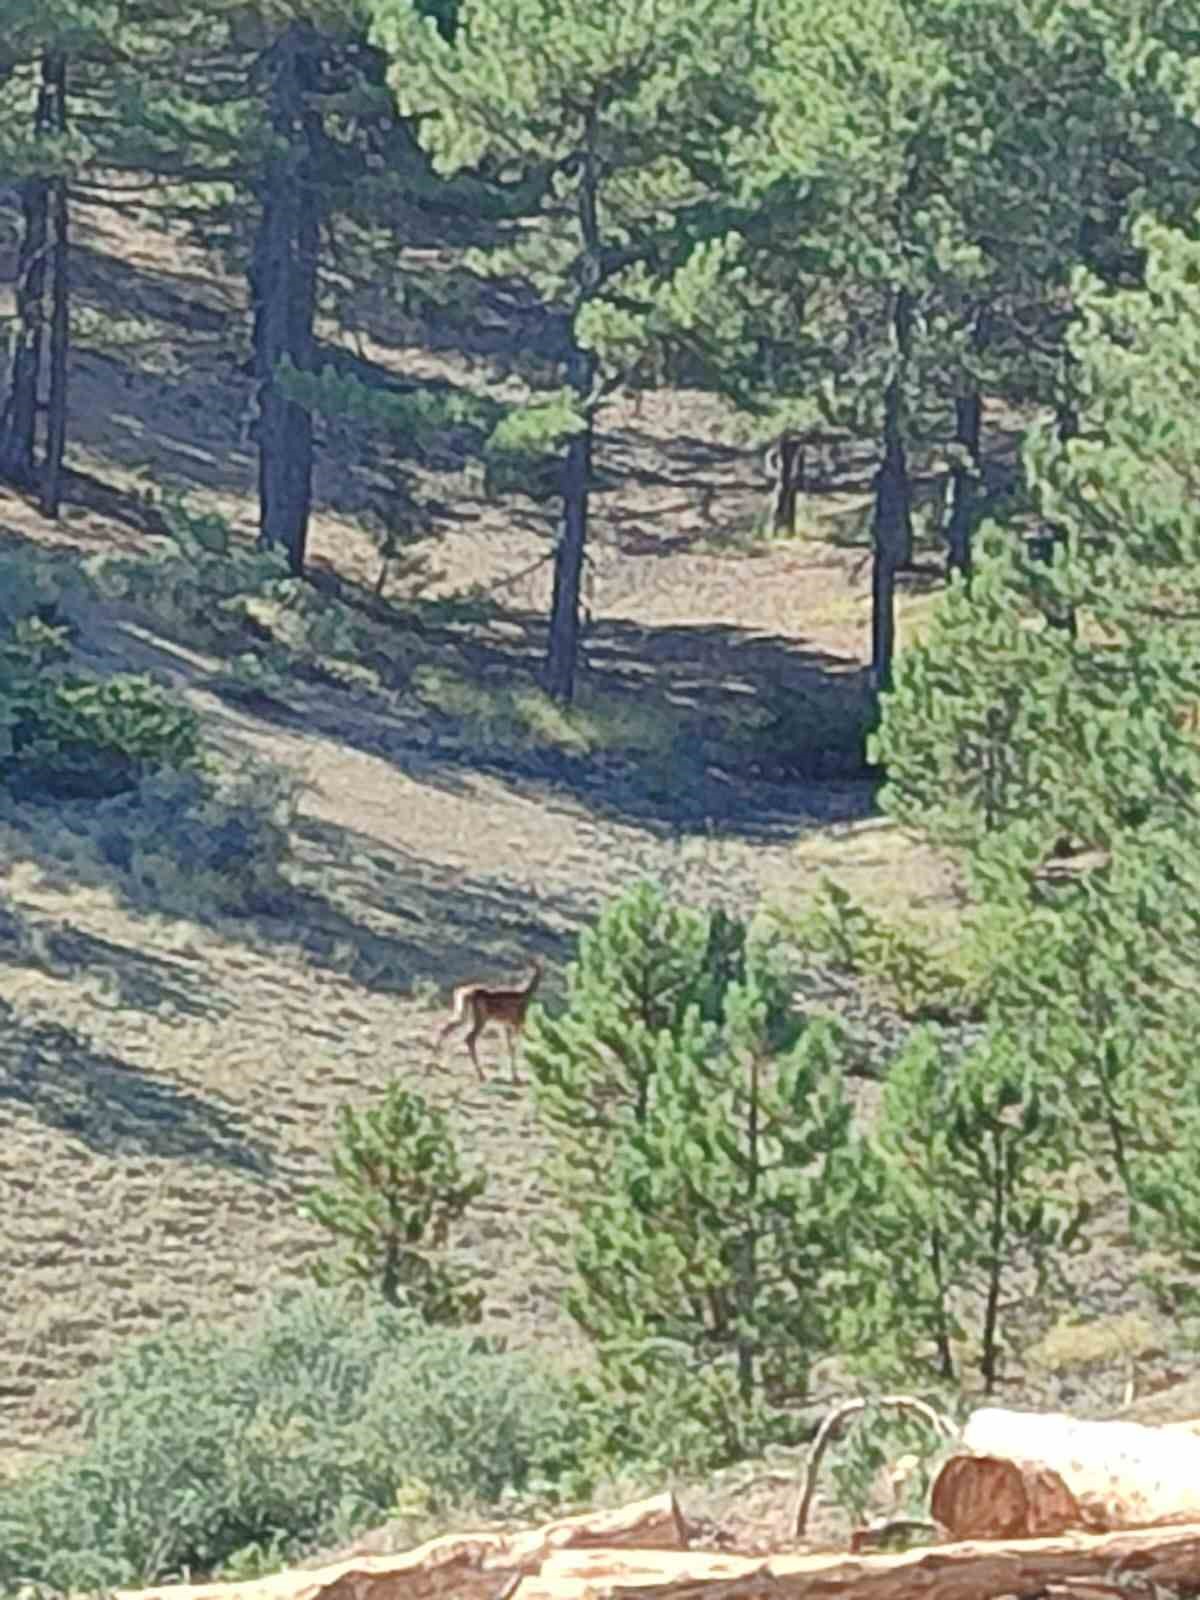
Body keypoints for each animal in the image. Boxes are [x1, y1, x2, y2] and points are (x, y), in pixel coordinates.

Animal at [438, 953, 544, 1081]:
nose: (535, 967)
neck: (525, 994)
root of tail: (464, 993)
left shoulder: (505, 1025)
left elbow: (509, 1047)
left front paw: (512, 1075)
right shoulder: (517, 1022)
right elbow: (514, 1047)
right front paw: (516, 1077)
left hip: (463, 1014)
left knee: (447, 1027)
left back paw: (440, 1063)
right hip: (481, 1018)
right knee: (469, 1038)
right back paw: (481, 1075)